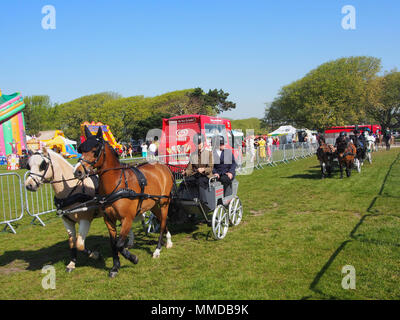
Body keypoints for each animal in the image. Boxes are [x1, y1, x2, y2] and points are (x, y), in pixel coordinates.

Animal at [74, 127, 174, 278]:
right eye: (80, 150)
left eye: (95, 149)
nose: (78, 172)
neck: (117, 184)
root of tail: (163, 166)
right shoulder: (109, 220)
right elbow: (113, 244)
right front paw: (115, 267)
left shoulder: (127, 218)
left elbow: (120, 244)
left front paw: (133, 258)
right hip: (154, 204)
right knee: (162, 220)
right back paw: (168, 241)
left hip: (164, 203)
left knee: (162, 223)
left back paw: (157, 249)